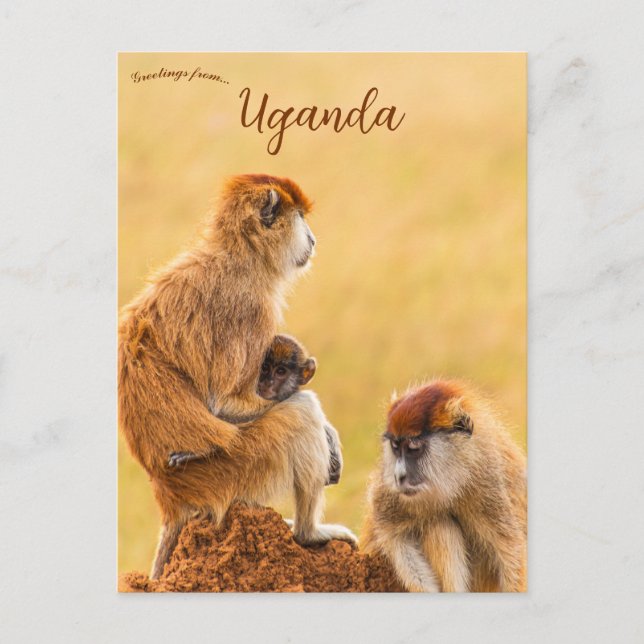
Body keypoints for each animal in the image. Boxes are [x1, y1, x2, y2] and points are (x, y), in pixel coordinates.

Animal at [361, 379, 527, 592]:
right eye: (396, 448)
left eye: (413, 448)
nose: (399, 476)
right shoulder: (392, 493)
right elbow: (395, 537)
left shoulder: (489, 482)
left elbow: (511, 552)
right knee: (437, 522)